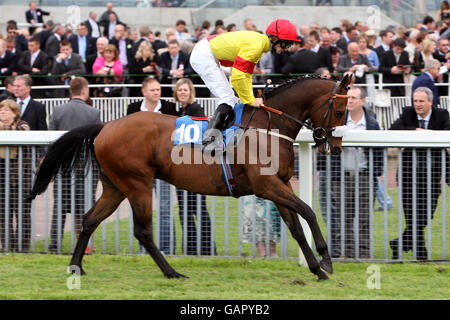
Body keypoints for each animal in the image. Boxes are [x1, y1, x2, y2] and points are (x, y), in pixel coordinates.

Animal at [28, 72, 354, 280]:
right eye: (340, 111)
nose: (336, 146)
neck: (268, 127)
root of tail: (105, 127)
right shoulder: (267, 186)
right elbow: (309, 211)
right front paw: (326, 259)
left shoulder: (280, 184)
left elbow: (296, 227)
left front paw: (316, 270)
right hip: (137, 183)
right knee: (142, 231)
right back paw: (172, 272)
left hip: (115, 187)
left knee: (89, 220)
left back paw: (76, 267)